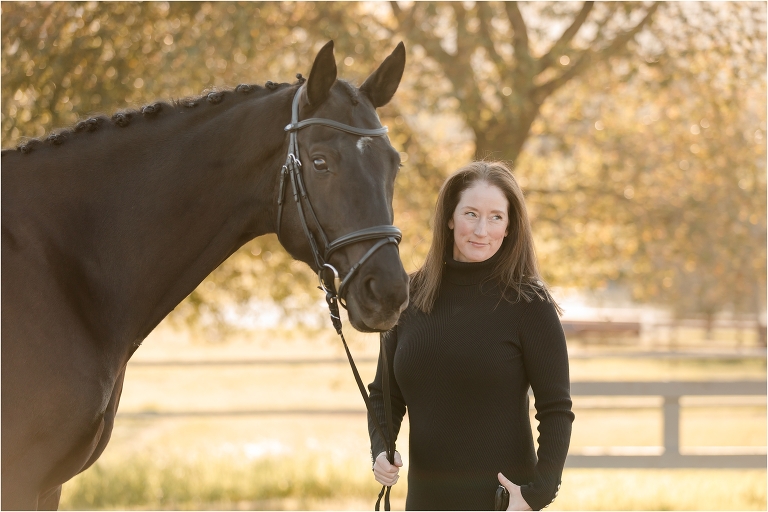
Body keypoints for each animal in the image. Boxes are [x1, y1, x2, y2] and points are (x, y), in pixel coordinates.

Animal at [1, 40, 409, 510]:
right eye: (320, 162)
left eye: (395, 164)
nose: (390, 293)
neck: (61, 260)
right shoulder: (22, 478)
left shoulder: (48, 486)